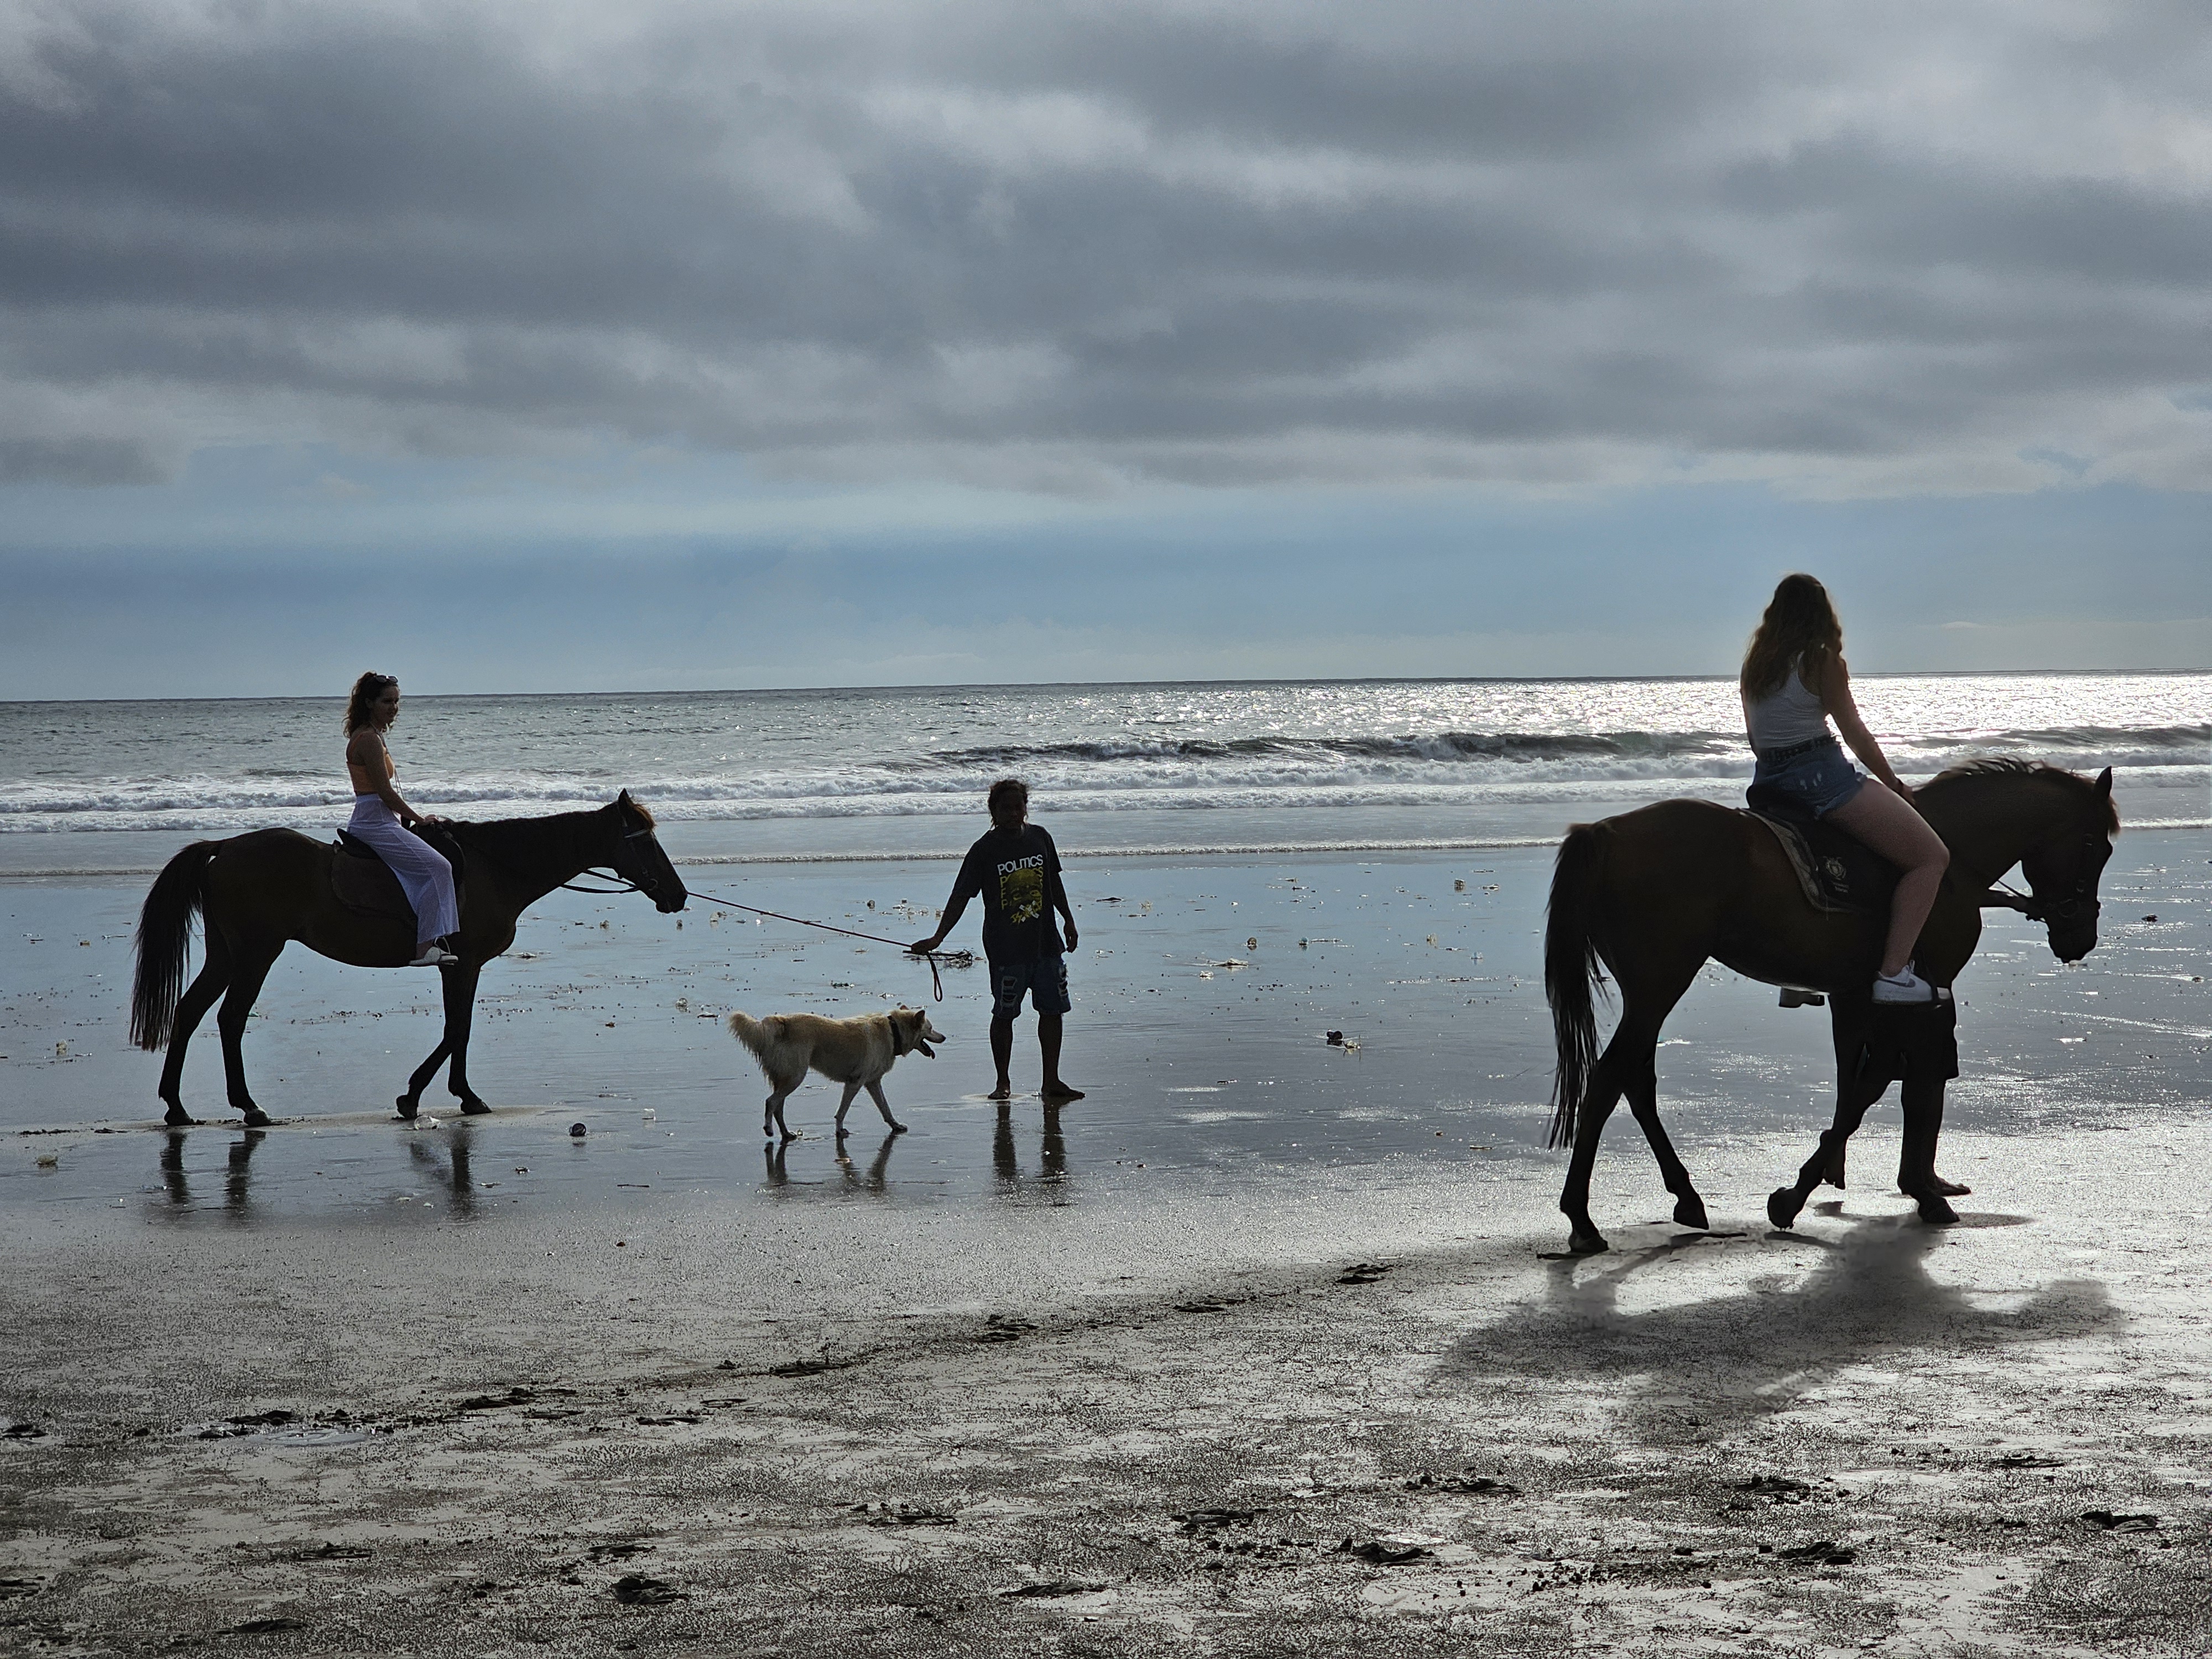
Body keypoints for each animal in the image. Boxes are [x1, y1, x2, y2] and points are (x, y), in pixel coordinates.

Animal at [129, 796, 681, 1133]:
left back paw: (176, 1107)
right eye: (646, 841)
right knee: (229, 1019)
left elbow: (458, 1027)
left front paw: (452, 1096)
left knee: (189, 1012)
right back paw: (248, 1107)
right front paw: (427, 1095)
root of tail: (224, 848)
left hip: (226, 954)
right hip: (256, 953)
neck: (496, 869)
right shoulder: (463, 964)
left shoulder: (458, 966)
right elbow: (458, 1028)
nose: (676, 895)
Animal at [721, 1013, 938, 1141]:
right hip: (795, 1077)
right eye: (930, 1028)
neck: (894, 1031)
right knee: (771, 1102)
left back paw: (786, 1133)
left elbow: (885, 1108)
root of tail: (781, 1024)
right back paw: (769, 1129)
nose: (943, 1037)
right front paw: (840, 1131)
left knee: (778, 1107)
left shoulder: (872, 1083)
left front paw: (895, 1126)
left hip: (786, 1079)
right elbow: (842, 1111)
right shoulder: (855, 1082)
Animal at [1548, 761, 2115, 1256]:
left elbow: (1875, 1086)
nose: (2081, 935)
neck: (1951, 858)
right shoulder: (1924, 995)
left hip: (1649, 992)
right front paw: (1808, 1194)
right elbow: (1880, 1085)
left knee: (1635, 1079)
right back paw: (1582, 1219)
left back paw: (1684, 1197)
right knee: (1609, 1078)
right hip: (1660, 986)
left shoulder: (1860, 996)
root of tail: (1605, 833)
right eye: (2095, 846)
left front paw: (1906, 1183)